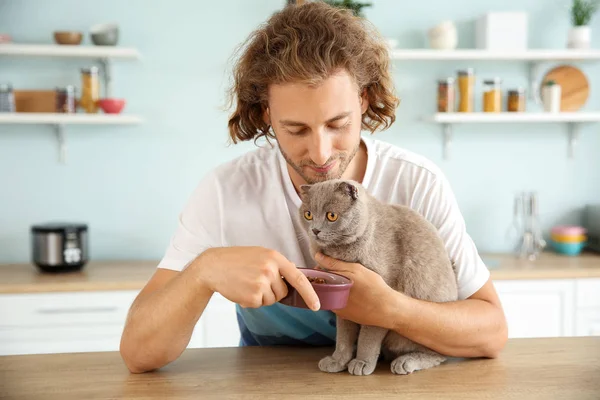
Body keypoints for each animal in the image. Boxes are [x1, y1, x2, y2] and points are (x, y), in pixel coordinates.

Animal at [298, 178, 458, 376]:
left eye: (332, 216)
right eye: (308, 214)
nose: (315, 230)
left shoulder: (380, 301)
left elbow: (369, 336)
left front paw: (362, 362)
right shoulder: (344, 304)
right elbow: (343, 335)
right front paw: (338, 361)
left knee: (439, 354)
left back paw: (405, 362)